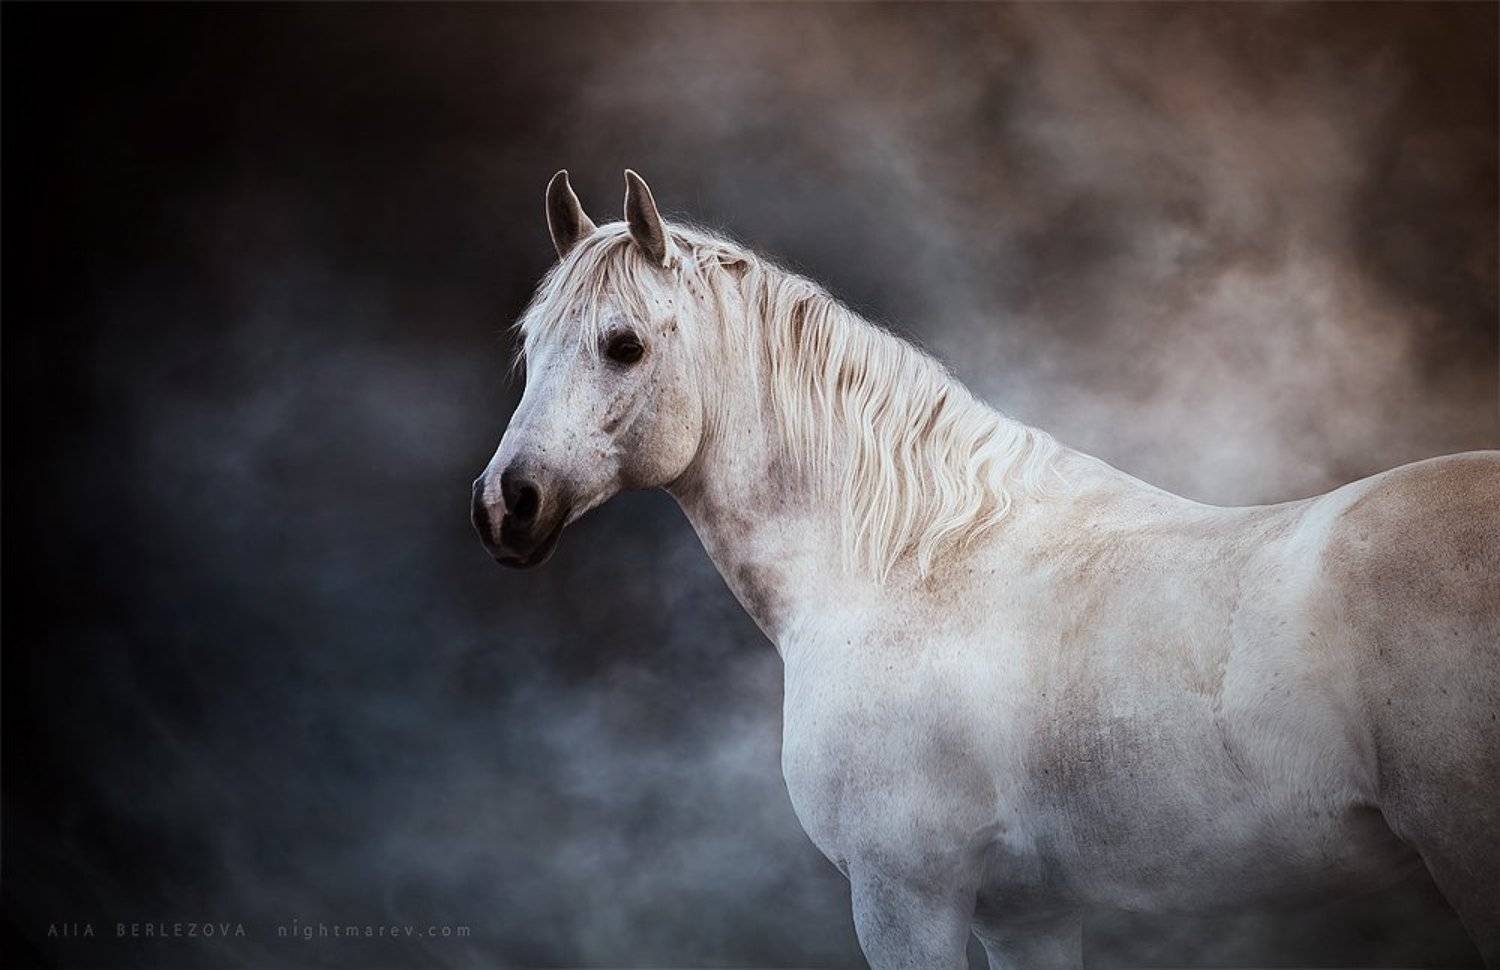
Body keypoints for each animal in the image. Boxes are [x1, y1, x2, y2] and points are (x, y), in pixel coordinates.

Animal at [471, 169, 1500, 969]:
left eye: (624, 345)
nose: (504, 504)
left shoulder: (905, 897)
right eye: (528, 346)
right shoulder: (1028, 912)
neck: (907, 568)